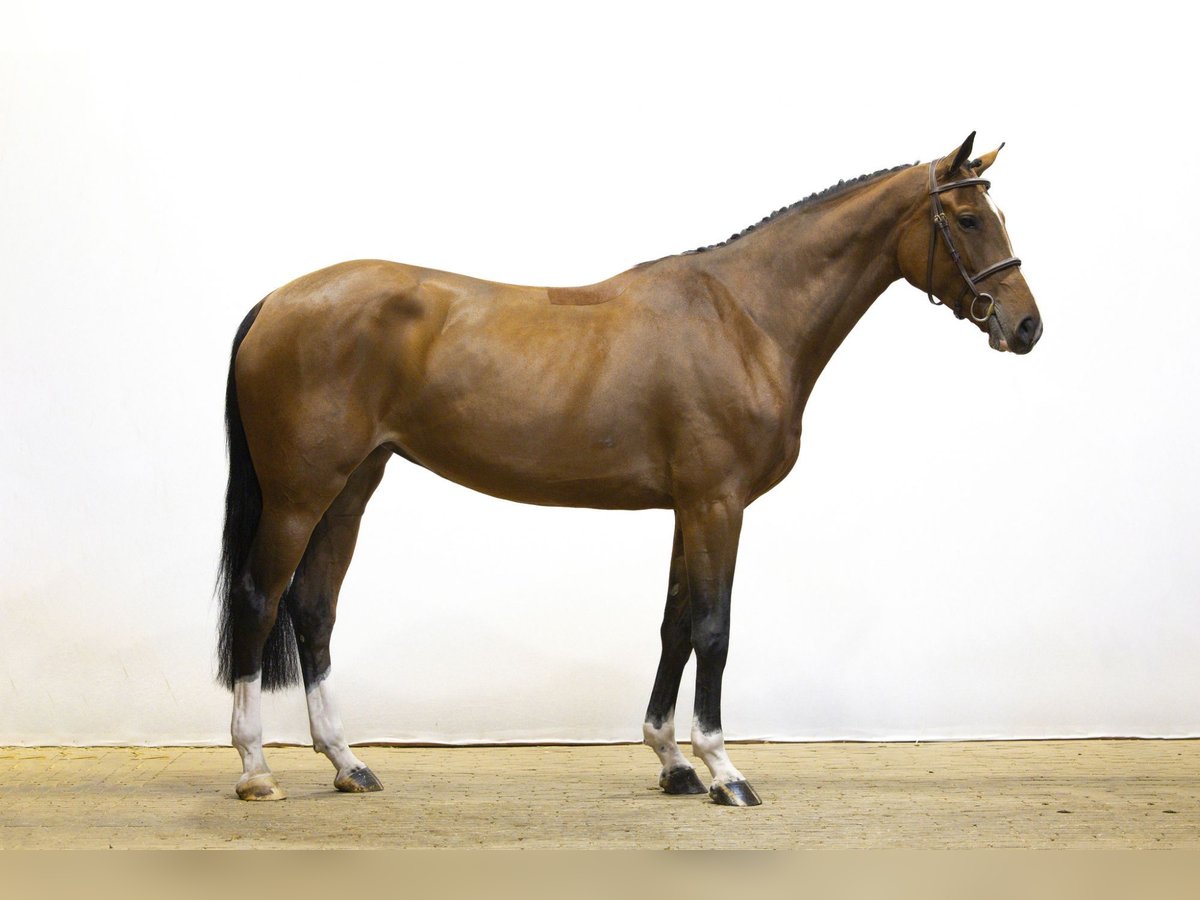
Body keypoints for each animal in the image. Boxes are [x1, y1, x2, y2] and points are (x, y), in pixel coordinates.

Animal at [217, 132, 1042, 806]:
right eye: (968, 218)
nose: (1027, 325)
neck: (746, 316)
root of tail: (275, 301)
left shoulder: (689, 507)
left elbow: (675, 624)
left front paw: (672, 762)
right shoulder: (718, 504)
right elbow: (714, 628)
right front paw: (724, 770)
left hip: (352, 487)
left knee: (314, 608)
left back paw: (347, 763)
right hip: (299, 495)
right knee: (260, 600)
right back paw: (256, 768)